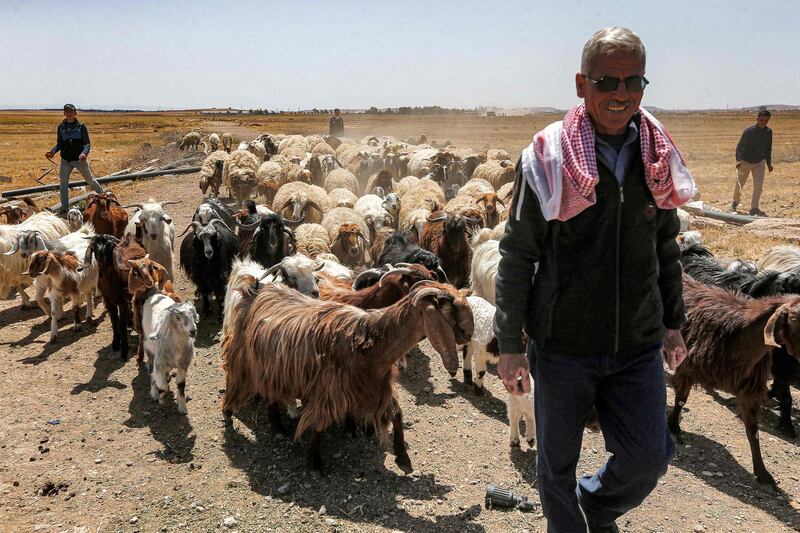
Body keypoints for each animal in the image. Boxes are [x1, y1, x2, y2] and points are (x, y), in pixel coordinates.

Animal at [222, 280, 472, 472]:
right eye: (448, 308)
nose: (469, 334)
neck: (369, 345)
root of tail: (256, 289)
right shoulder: (329, 392)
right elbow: (318, 425)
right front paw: (315, 462)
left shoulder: (376, 388)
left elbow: (397, 415)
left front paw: (402, 457)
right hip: (244, 362)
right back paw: (230, 414)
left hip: (271, 368)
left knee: (270, 393)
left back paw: (277, 426)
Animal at [668, 276, 800, 492]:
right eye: (795, 319)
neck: (737, 338)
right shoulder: (687, 367)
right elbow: (681, 400)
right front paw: (673, 428)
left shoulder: (749, 391)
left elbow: (753, 431)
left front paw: (763, 474)